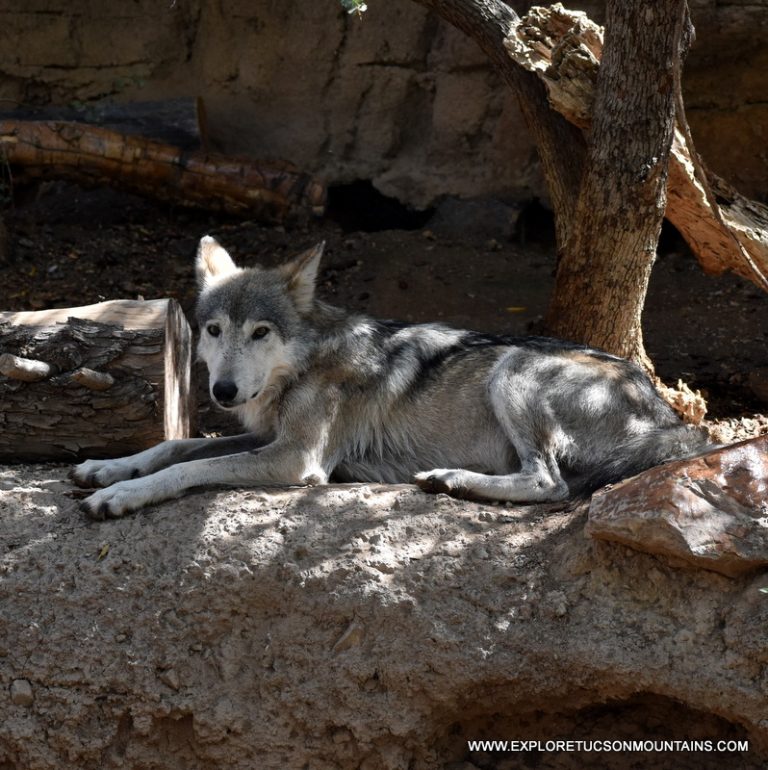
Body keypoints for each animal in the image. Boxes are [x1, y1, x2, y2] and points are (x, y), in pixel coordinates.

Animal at [70, 237, 708, 520]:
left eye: (260, 332)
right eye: (214, 329)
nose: (222, 391)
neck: (303, 363)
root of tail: (669, 414)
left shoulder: (297, 459)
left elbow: (189, 467)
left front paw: (120, 496)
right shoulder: (265, 435)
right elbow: (174, 446)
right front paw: (108, 467)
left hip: (513, 371)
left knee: (550, 484)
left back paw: (453, 481)